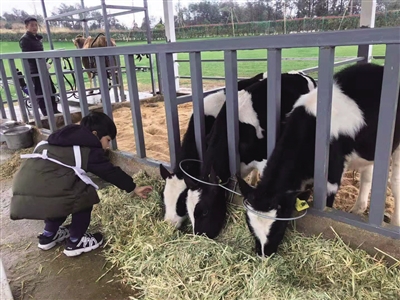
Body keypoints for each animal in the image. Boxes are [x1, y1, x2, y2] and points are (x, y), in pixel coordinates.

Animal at [236, 62, 400, 258]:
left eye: (279, 226)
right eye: (249, 226)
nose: (263, 254)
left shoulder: (332, 177)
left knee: (395, 181)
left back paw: (394, 221)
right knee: (367, 175)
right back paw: (358, 208)